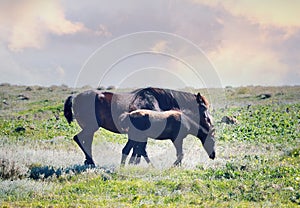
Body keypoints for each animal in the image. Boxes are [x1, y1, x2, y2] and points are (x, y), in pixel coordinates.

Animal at [63, 87, 216, 167]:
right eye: (203, 108)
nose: (210, 123)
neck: (156, 100)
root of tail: (75, 97)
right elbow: (139, 148)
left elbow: (137, 148)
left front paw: (133, 163)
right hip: (90, 127)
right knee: (79, 138)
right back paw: (91, 161)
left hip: (90, 129)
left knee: (85, 140)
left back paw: (89, 161)